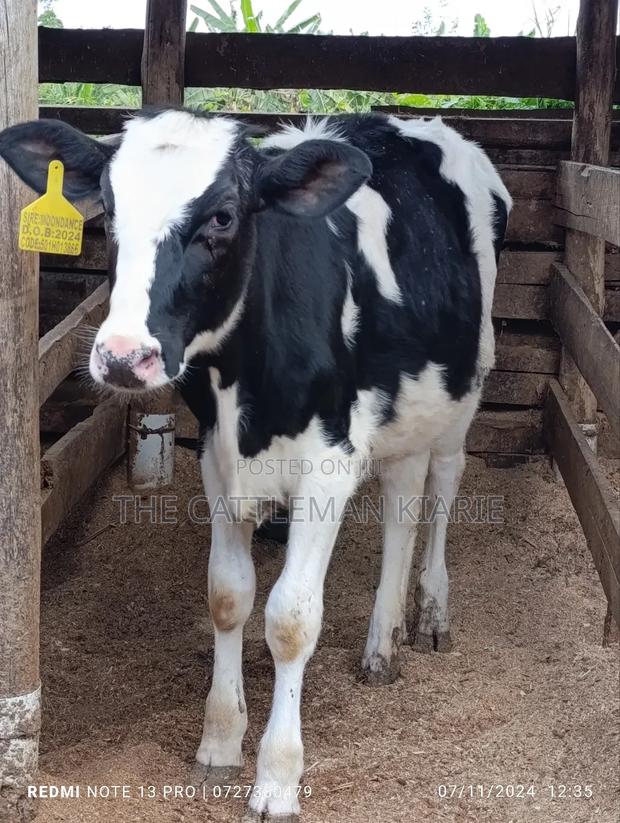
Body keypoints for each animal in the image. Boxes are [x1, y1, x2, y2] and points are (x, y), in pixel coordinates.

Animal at [0, 110, 511, 821]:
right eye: (109, 207)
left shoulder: (328, 465)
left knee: (441, 487)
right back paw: (382, 641)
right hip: (403, 407)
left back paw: (432, 612)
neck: (245, 381)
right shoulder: (218, 462)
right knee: (402, 506)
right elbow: (227, 597)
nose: (124, 356)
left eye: (222, 216)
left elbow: (291, 620)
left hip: (466, 383)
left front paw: (277, 777)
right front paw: (219, 740)